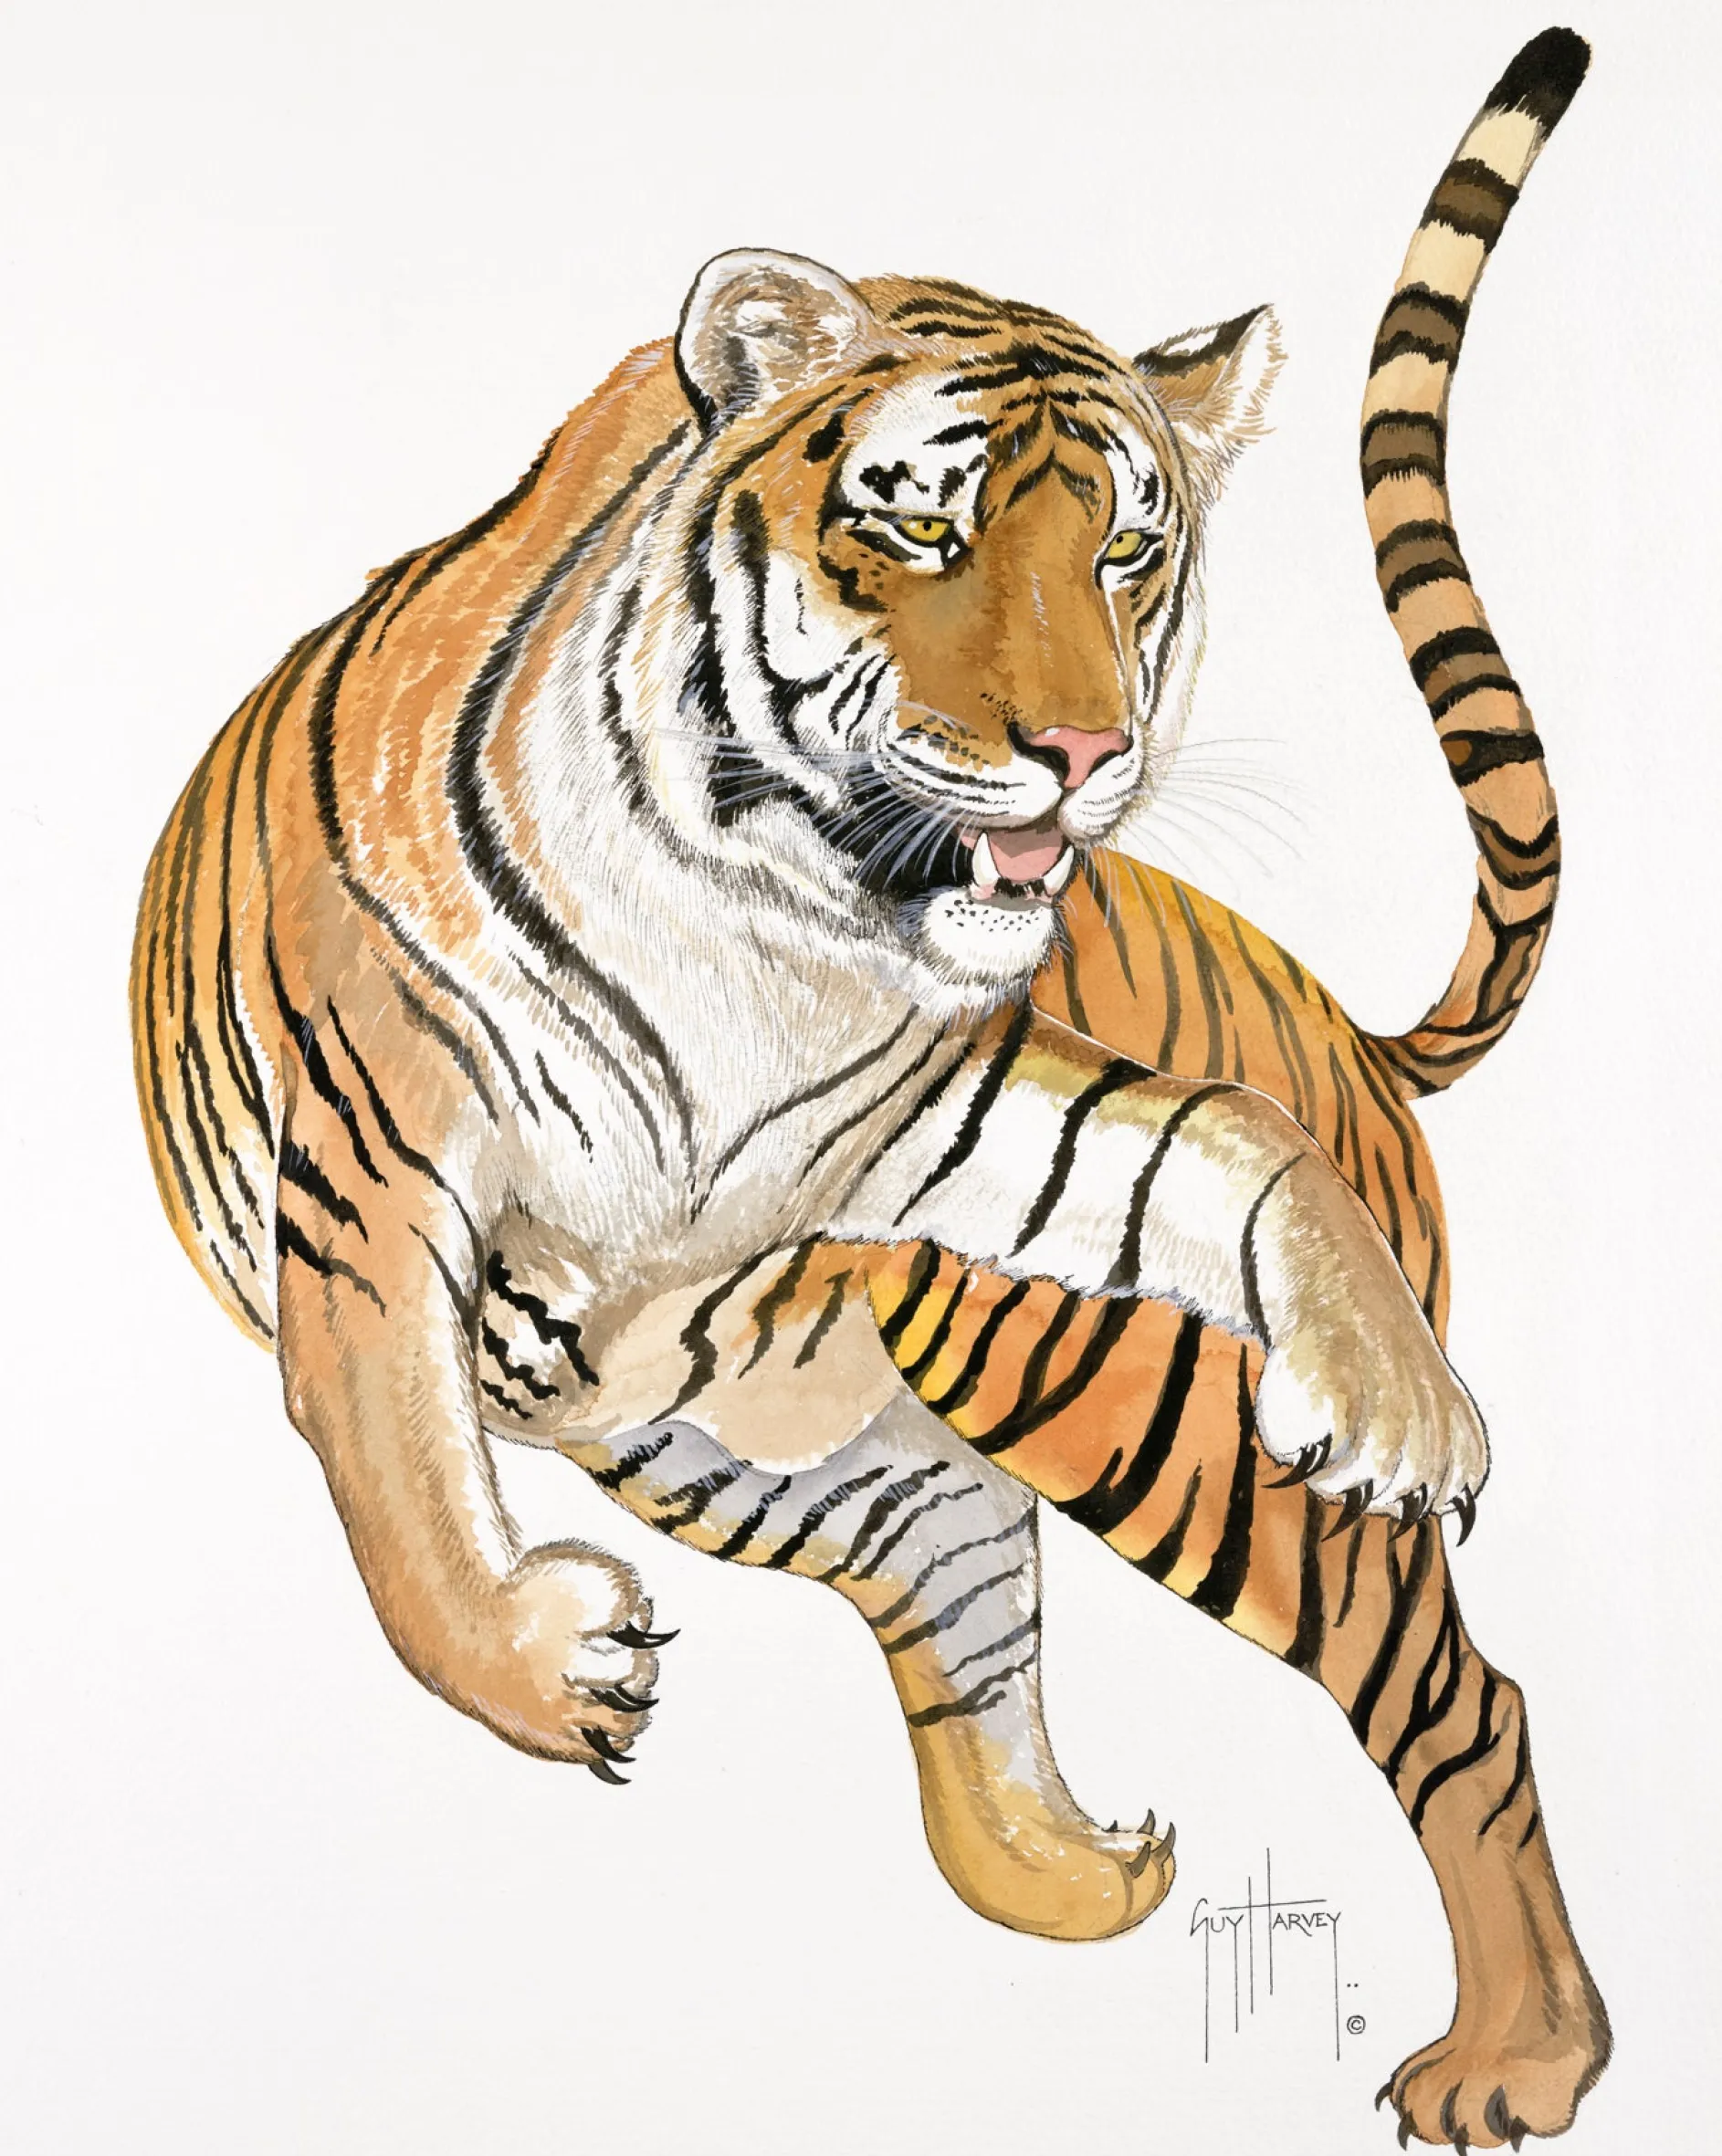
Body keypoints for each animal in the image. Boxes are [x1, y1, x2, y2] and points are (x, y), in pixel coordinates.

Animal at [130, 25, 1606, 2150]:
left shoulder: (936, 1114)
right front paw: (548, 1658)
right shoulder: (372, 1165)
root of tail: (1352, 1024)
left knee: (1460, 1703)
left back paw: (1516, 2059)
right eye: (922, 526)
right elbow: (401, 1477)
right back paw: (1092, 1867)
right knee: (978, 1630)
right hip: (832, 1470)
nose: (1082, 750)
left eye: (1128, 546)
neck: (761, 925)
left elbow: (1210, 1141)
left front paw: (1399, 1395)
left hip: (1162, 1429)